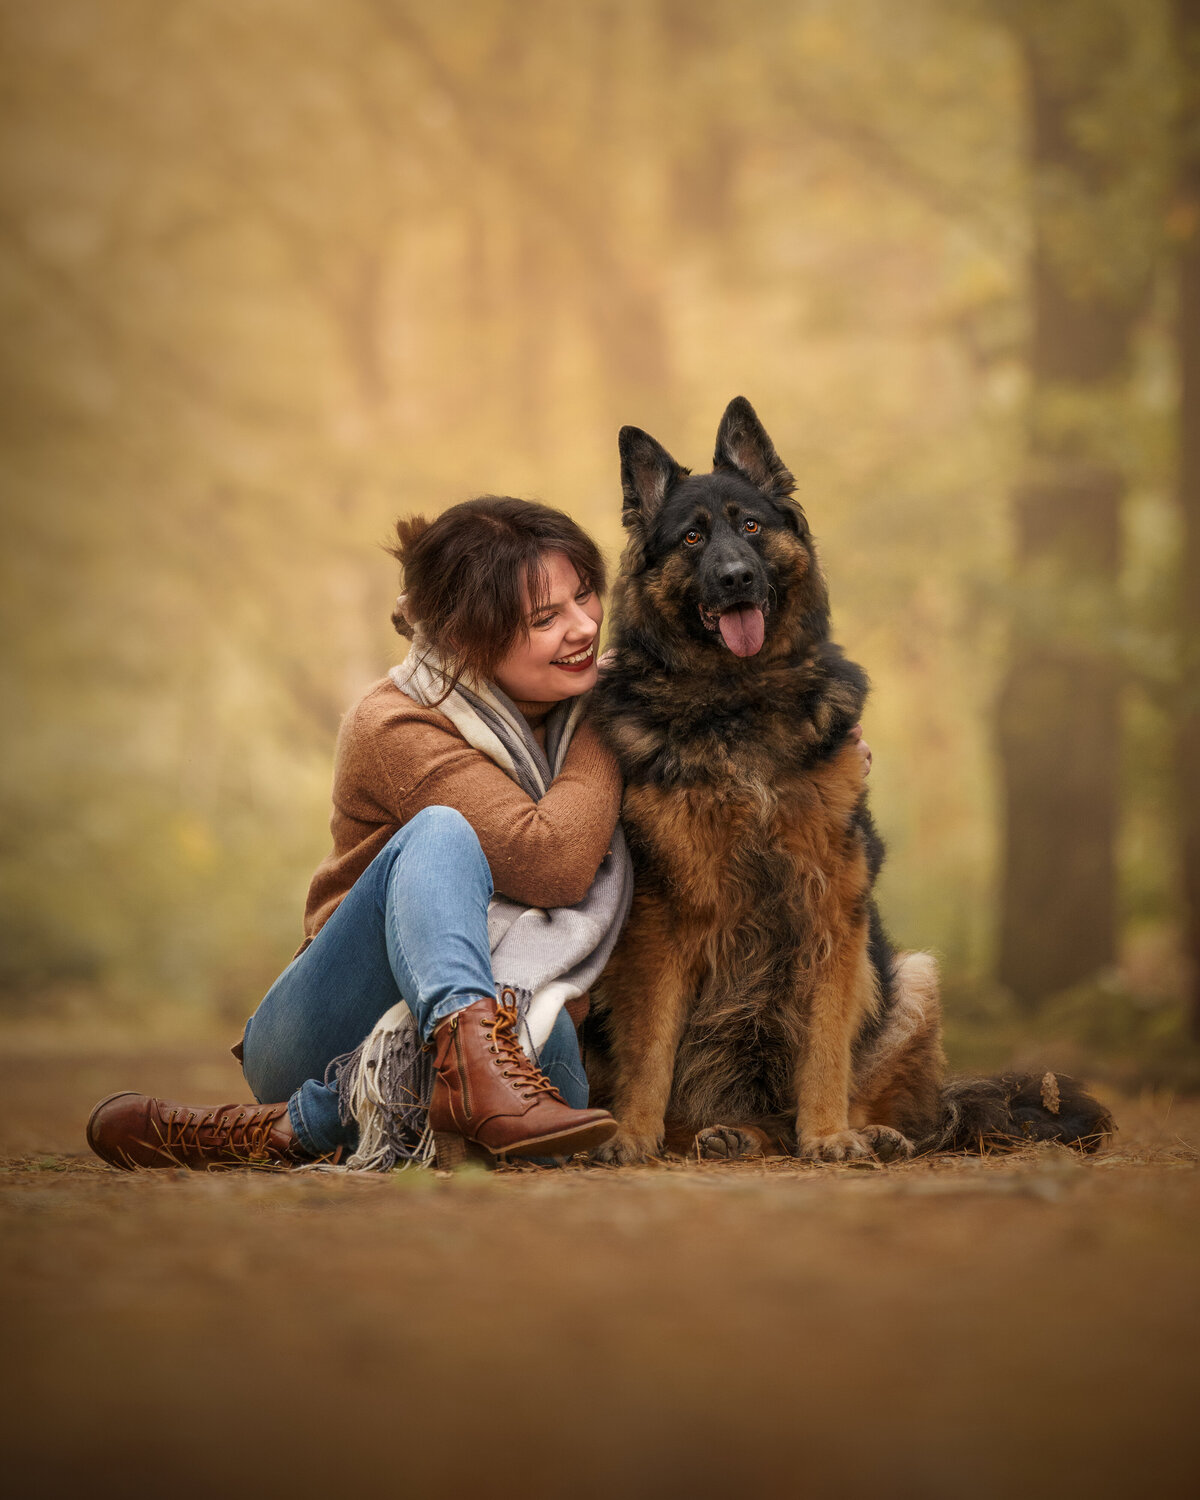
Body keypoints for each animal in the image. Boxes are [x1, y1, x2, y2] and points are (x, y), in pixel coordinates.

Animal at [585, 396, 1110, 1158]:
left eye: (750, 526)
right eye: (691, 537)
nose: (737, 577)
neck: (739, 699)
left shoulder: (833, 898)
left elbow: (828, 1043)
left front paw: (831, 1134)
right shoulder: (663, 913)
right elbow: (650, 1044)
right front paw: (632, 1133)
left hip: (914, 978)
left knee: (890, 1101)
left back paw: (864, 1133)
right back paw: (723, 1132)